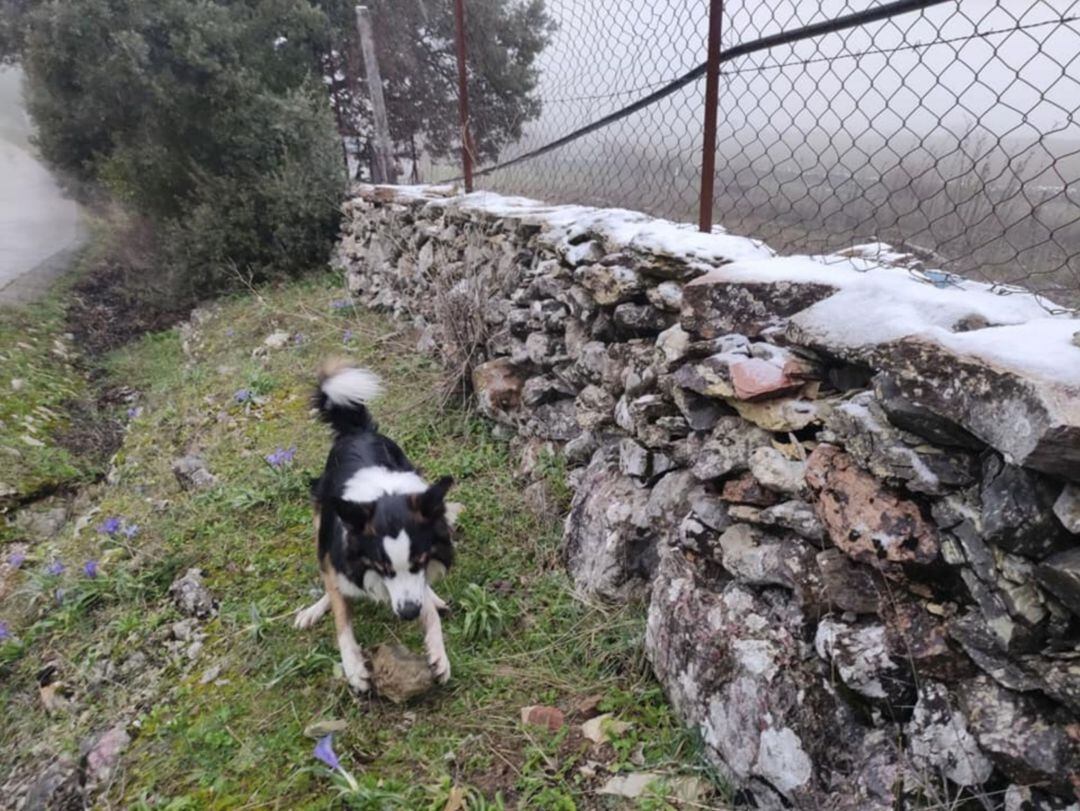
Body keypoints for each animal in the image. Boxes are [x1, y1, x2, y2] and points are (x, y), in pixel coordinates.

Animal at [293, 360, 453, 691]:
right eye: (382, 568)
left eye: (419, 561)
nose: (408, 614)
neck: (385, 499)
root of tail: (358, 431)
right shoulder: (339, 557)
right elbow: (342, 620)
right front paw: (353, 667)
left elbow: (427, 605)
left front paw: (438, 651)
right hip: (319, 521)